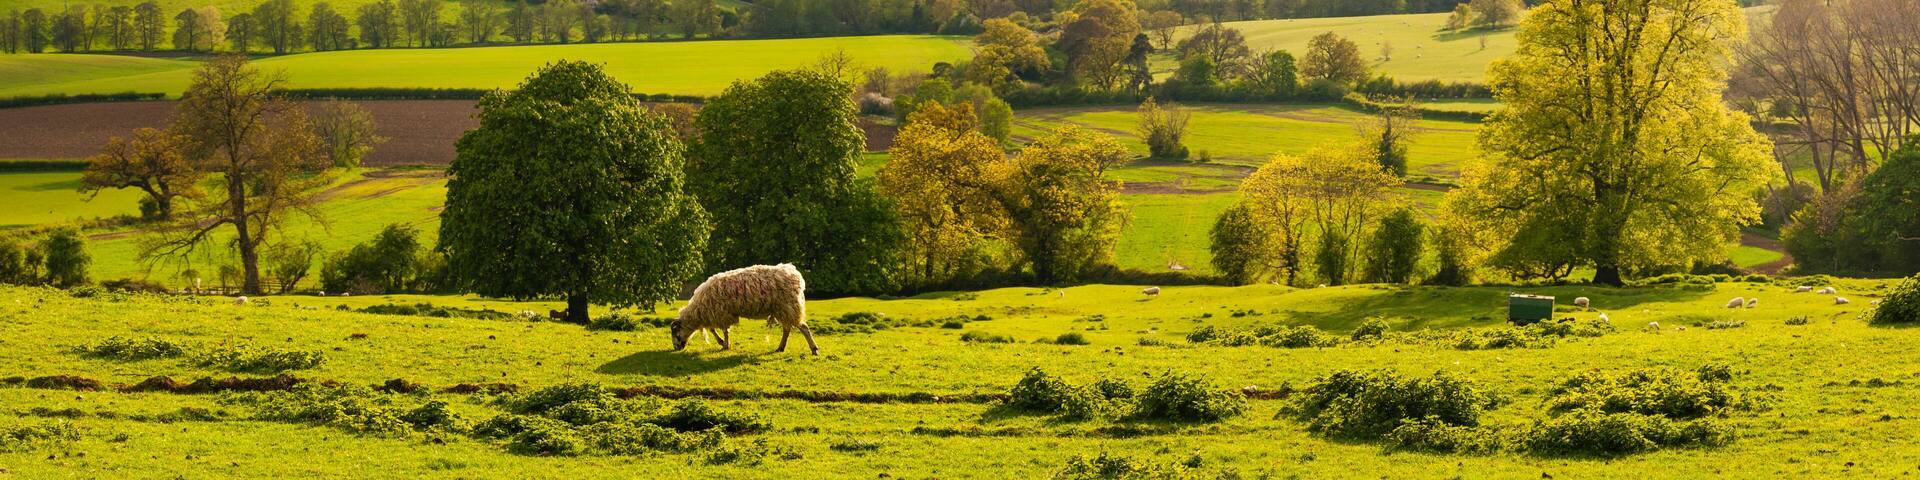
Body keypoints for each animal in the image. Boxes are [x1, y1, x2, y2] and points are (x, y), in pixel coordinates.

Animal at [671, 263, 816, 355]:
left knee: (803, 327)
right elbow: (712, 329)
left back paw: (814, 349)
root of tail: (795, 274)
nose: (676, 348)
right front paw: (722, 342)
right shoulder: (715, 313)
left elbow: (724, 331)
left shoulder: (722, 313)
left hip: (789, 306)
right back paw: (780, 348)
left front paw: (725, 344)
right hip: (782, 309)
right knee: (787, 329)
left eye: (675, 333)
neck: (697, 311)